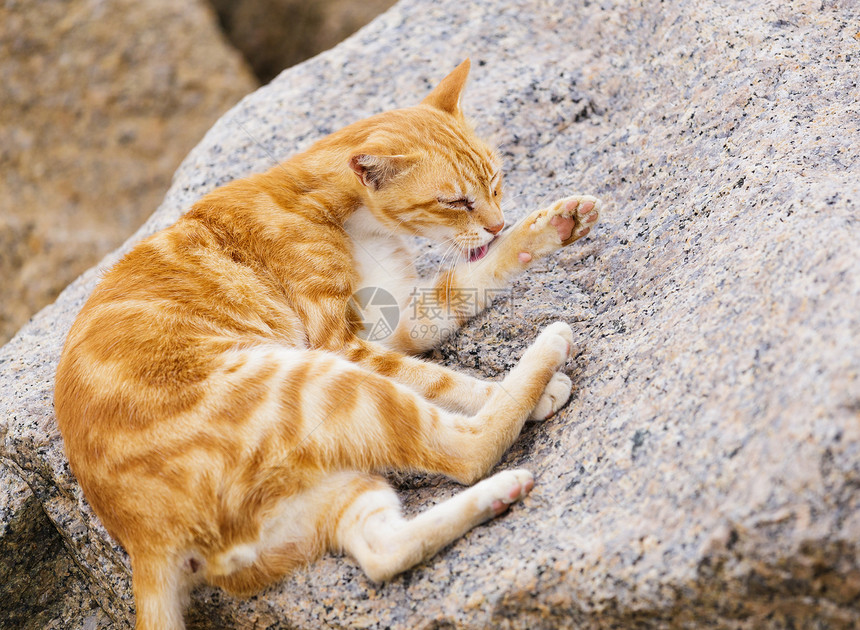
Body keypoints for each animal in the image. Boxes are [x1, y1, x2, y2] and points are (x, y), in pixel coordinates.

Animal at [57, 60, 600, 630]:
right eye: (454, 200)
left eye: (495, 180)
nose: (497, 222)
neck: (343, 211)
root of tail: (145, 542)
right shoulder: (342, 343)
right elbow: (439, 378)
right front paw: (524, 390)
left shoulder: (393, 321)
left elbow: (467, 281)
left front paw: (551, 228)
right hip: (317, 379)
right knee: (463, 449)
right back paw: (544, 356)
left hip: (330, 497)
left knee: (384, 553)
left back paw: (498, 496)